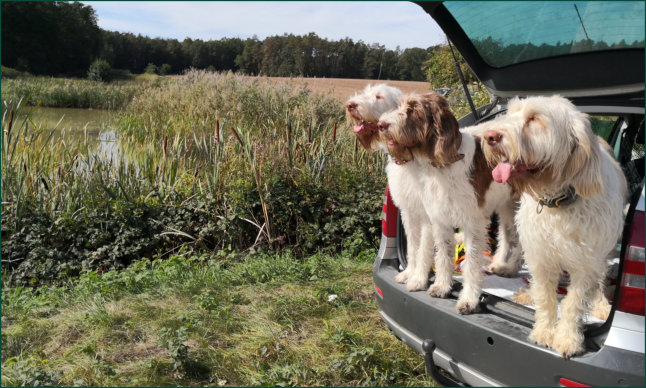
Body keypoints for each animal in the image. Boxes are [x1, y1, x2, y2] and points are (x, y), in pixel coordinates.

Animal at [378, 92, 524, 314]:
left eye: (413, 108)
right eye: (400, 105)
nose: (380, 124)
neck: (442, 164)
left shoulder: (472, 223)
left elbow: (471, 262)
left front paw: (469, 299)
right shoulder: (439, 220)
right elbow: (443, 255)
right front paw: (442, 286)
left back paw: (511, 268)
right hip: (505, 205)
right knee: (507, 235)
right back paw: (500, 264)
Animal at [480, 94, 628, 358]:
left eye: (534, 118)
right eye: (510, 113)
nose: (489, 136)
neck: (558, 202)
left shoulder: (586, 263)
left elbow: (573, 303)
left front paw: (567, 338)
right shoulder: (541, 256)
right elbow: (546, 297)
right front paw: (544, 331)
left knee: (600, 280)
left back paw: (601, 303)